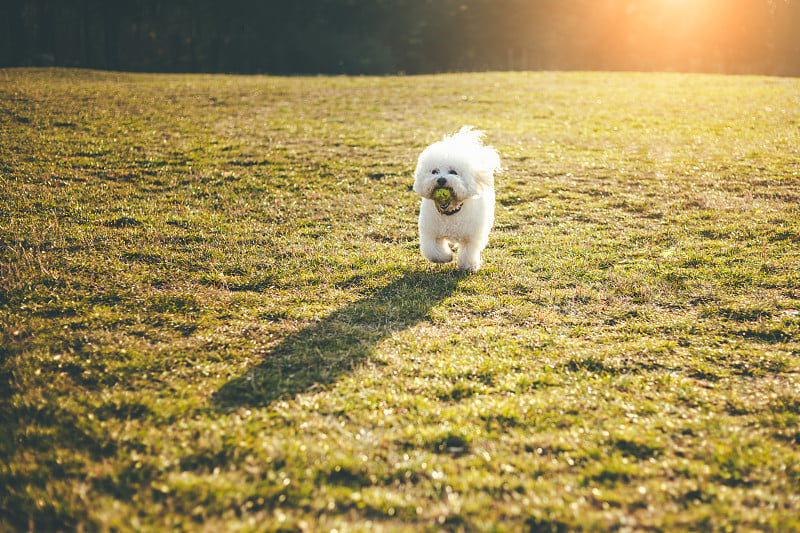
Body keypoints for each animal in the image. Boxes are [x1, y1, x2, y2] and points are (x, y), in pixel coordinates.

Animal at [412, 127, 500, 272]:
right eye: (434, 171)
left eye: (453, 172)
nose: (441, 180)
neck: (450, 213)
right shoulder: (430, 232)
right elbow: (433, 251)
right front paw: (446, 257)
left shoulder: (472, 236)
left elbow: (469, 252)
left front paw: (468, 266)